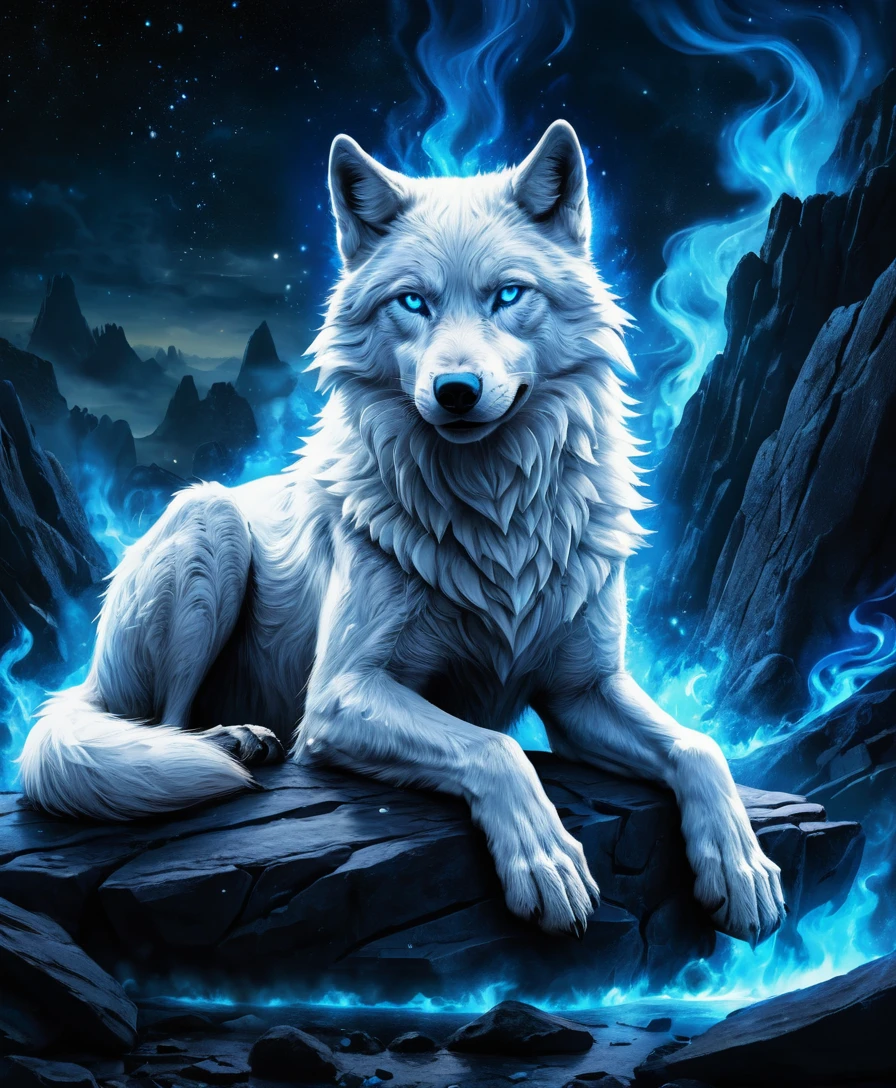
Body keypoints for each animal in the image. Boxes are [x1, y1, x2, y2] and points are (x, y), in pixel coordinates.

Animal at [20, 121, 784, 943]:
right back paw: (231, 742)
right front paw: (545, 862)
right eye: (412, 302)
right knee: (158, 722)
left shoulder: (584, 695)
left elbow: (698, 747)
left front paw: (741, 868)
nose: (456, 392)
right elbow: (496, 746)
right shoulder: (339, 695)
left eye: (508, 295)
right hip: (207, 524)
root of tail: (85, 682)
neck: (496, 517)